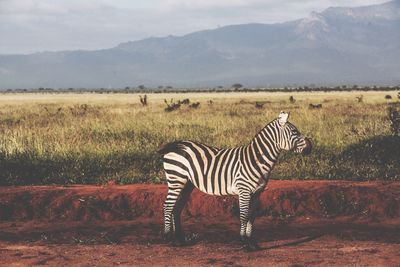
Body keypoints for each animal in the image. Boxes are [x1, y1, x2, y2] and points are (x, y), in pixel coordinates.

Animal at [158, 111, 310, 251]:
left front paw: (251, 242)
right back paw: (169, 237)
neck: (256, 159)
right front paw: (244, 241)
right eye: (295, 132)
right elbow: (243, 215)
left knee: (176, 208)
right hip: (176, 179)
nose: (311, 146)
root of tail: (176, 143)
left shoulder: (257, 192)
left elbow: (251, 216)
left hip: (186, 184)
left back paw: (179, 240)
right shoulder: (244, 190)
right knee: (168, 205)